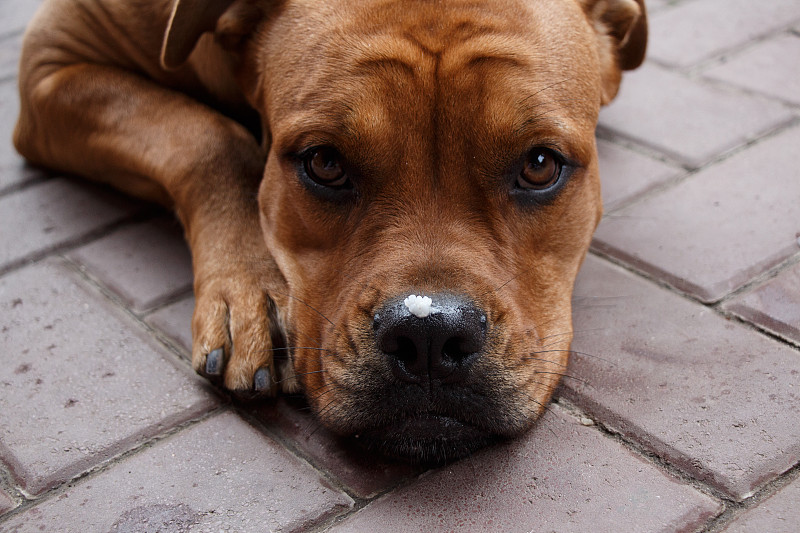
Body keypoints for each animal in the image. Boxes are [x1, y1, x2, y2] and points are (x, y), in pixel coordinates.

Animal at [15, 0, 648, 460]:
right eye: (324, 162)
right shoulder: (49, 64)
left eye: (539, 165)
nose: (428, 334)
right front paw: (251, 292)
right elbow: (207, 135)